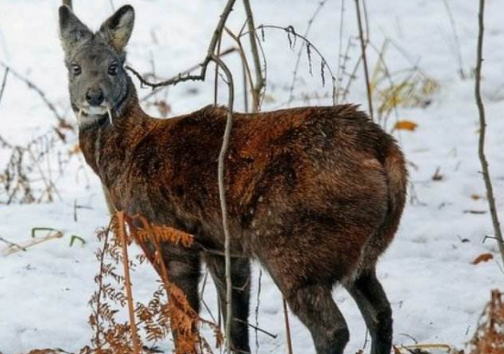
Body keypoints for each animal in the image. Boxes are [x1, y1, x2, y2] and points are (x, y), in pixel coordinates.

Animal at [58, 4, 406, 354]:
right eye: (75, 67)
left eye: (113, 67)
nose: (94, 96)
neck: (128, 154)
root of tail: (384, 149)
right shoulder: (222, 245)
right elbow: (235, 321)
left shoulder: (166, 233)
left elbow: (184, 322)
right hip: (360, 255)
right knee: (380, 312)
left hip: (292, 246)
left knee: (333, 329)